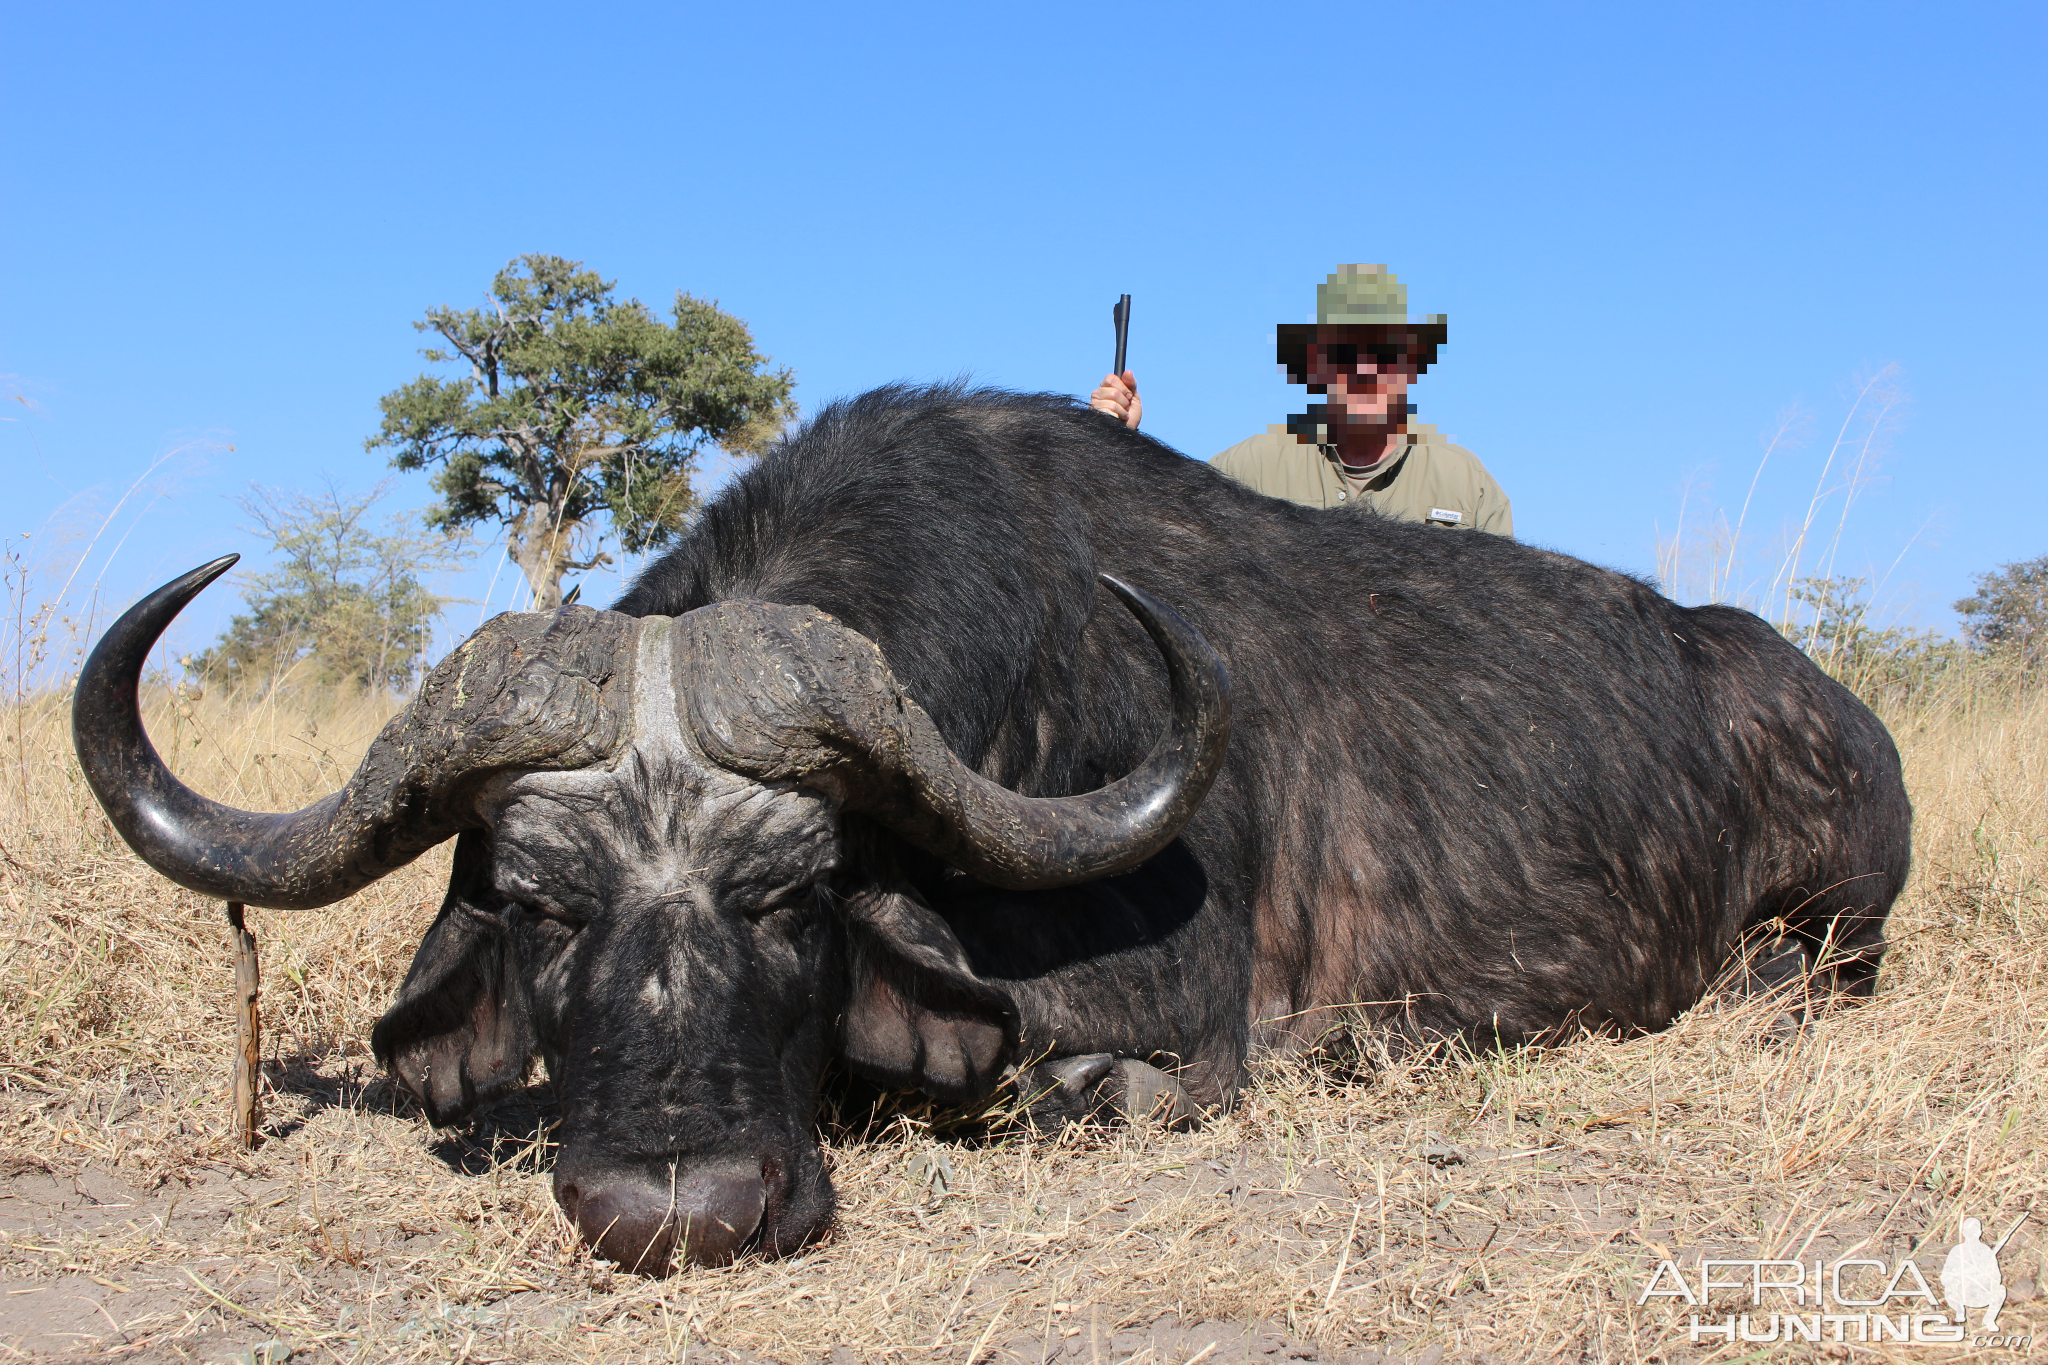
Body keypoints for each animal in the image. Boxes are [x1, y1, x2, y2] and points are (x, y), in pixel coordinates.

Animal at [75, 382, 1900, 1268]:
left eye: (796, 895)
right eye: (538, 907)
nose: (683, 1209)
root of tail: (1783, 681)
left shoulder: (1172, 1037)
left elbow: (1059, 1086)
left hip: (1834, 907)